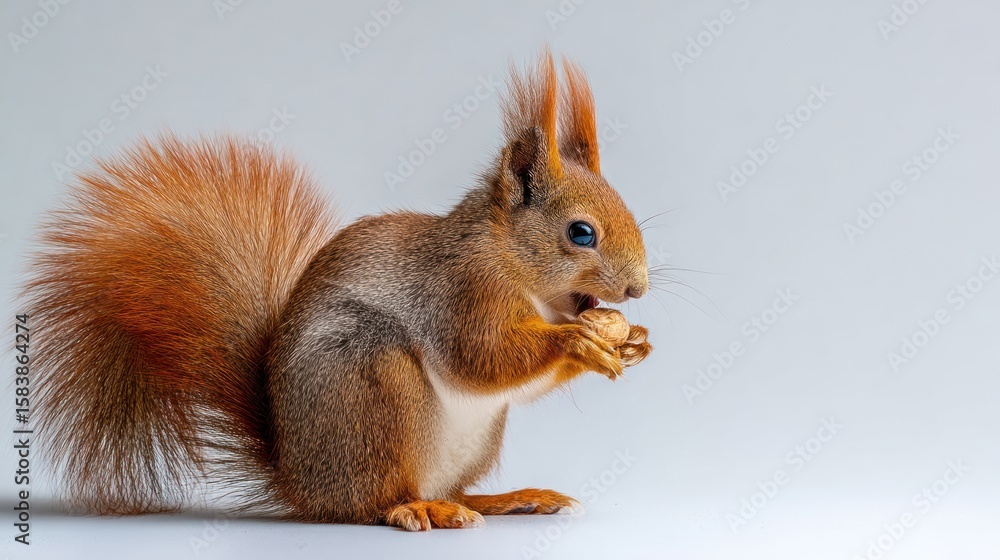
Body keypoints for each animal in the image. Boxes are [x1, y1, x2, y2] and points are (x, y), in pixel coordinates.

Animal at [24, 50, 652, 531]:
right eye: (580, 233)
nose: (639, 289)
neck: (510, 261)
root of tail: (301, 482)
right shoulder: (460, 293)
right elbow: (480, 358)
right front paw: (577, 342)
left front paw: (633, 341)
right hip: (374, 384)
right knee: (371, 502)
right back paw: (417, 508)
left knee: (451, 489)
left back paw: (505, 499)